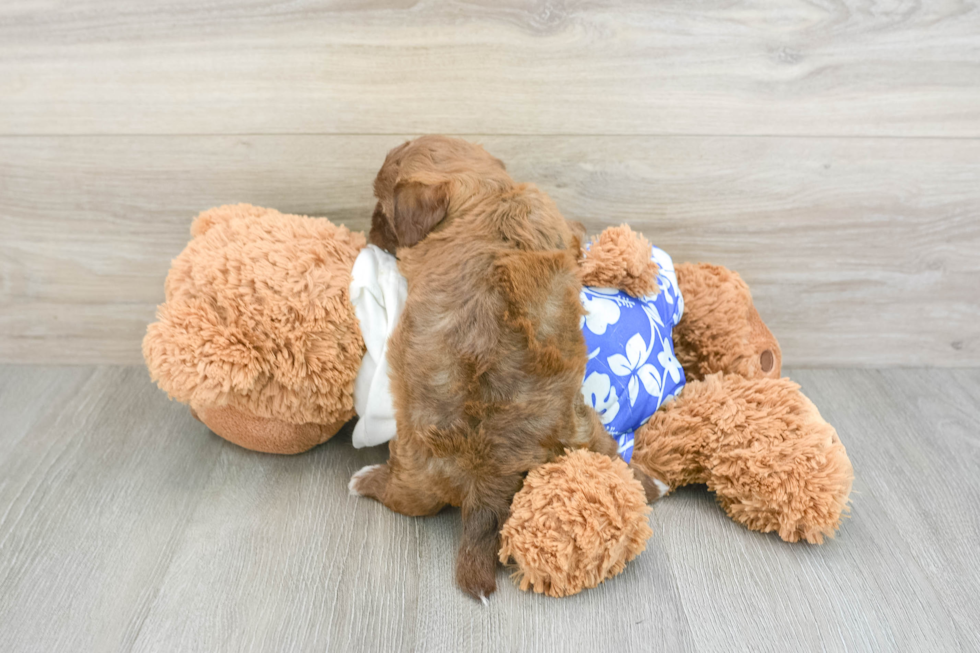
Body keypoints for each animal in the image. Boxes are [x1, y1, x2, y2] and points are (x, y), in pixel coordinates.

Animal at [350, 136, 660, 600]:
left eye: (383, 210)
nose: (369, 229)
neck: (491, 192)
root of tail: (487, 483)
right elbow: (573, 237)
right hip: (585, 428)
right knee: (615, 456)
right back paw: (653, 483)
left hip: (413, 472)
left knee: (400, 497)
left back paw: (365, 479)